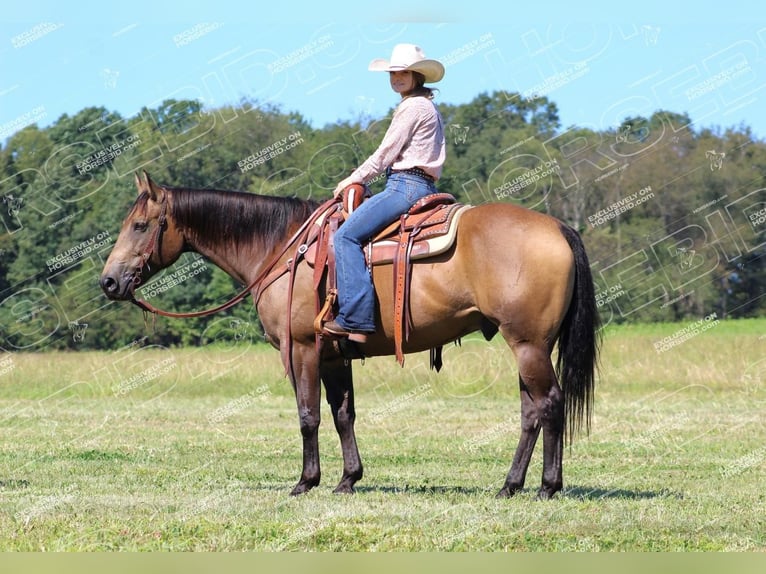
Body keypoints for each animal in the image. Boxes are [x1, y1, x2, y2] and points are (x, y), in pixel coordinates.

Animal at [99, 171, 604, 500]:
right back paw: (510, 485)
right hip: (530, 347)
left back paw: (547, 487)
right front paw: (347, 479)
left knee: (550, 404)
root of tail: (559, 228)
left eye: (140, 225)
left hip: (528, 346)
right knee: (531, 412)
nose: (109, 282)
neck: (283, 247)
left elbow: (308, 416)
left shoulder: (301, 351)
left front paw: (305, 482)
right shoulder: (333, 356)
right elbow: (343, 415)